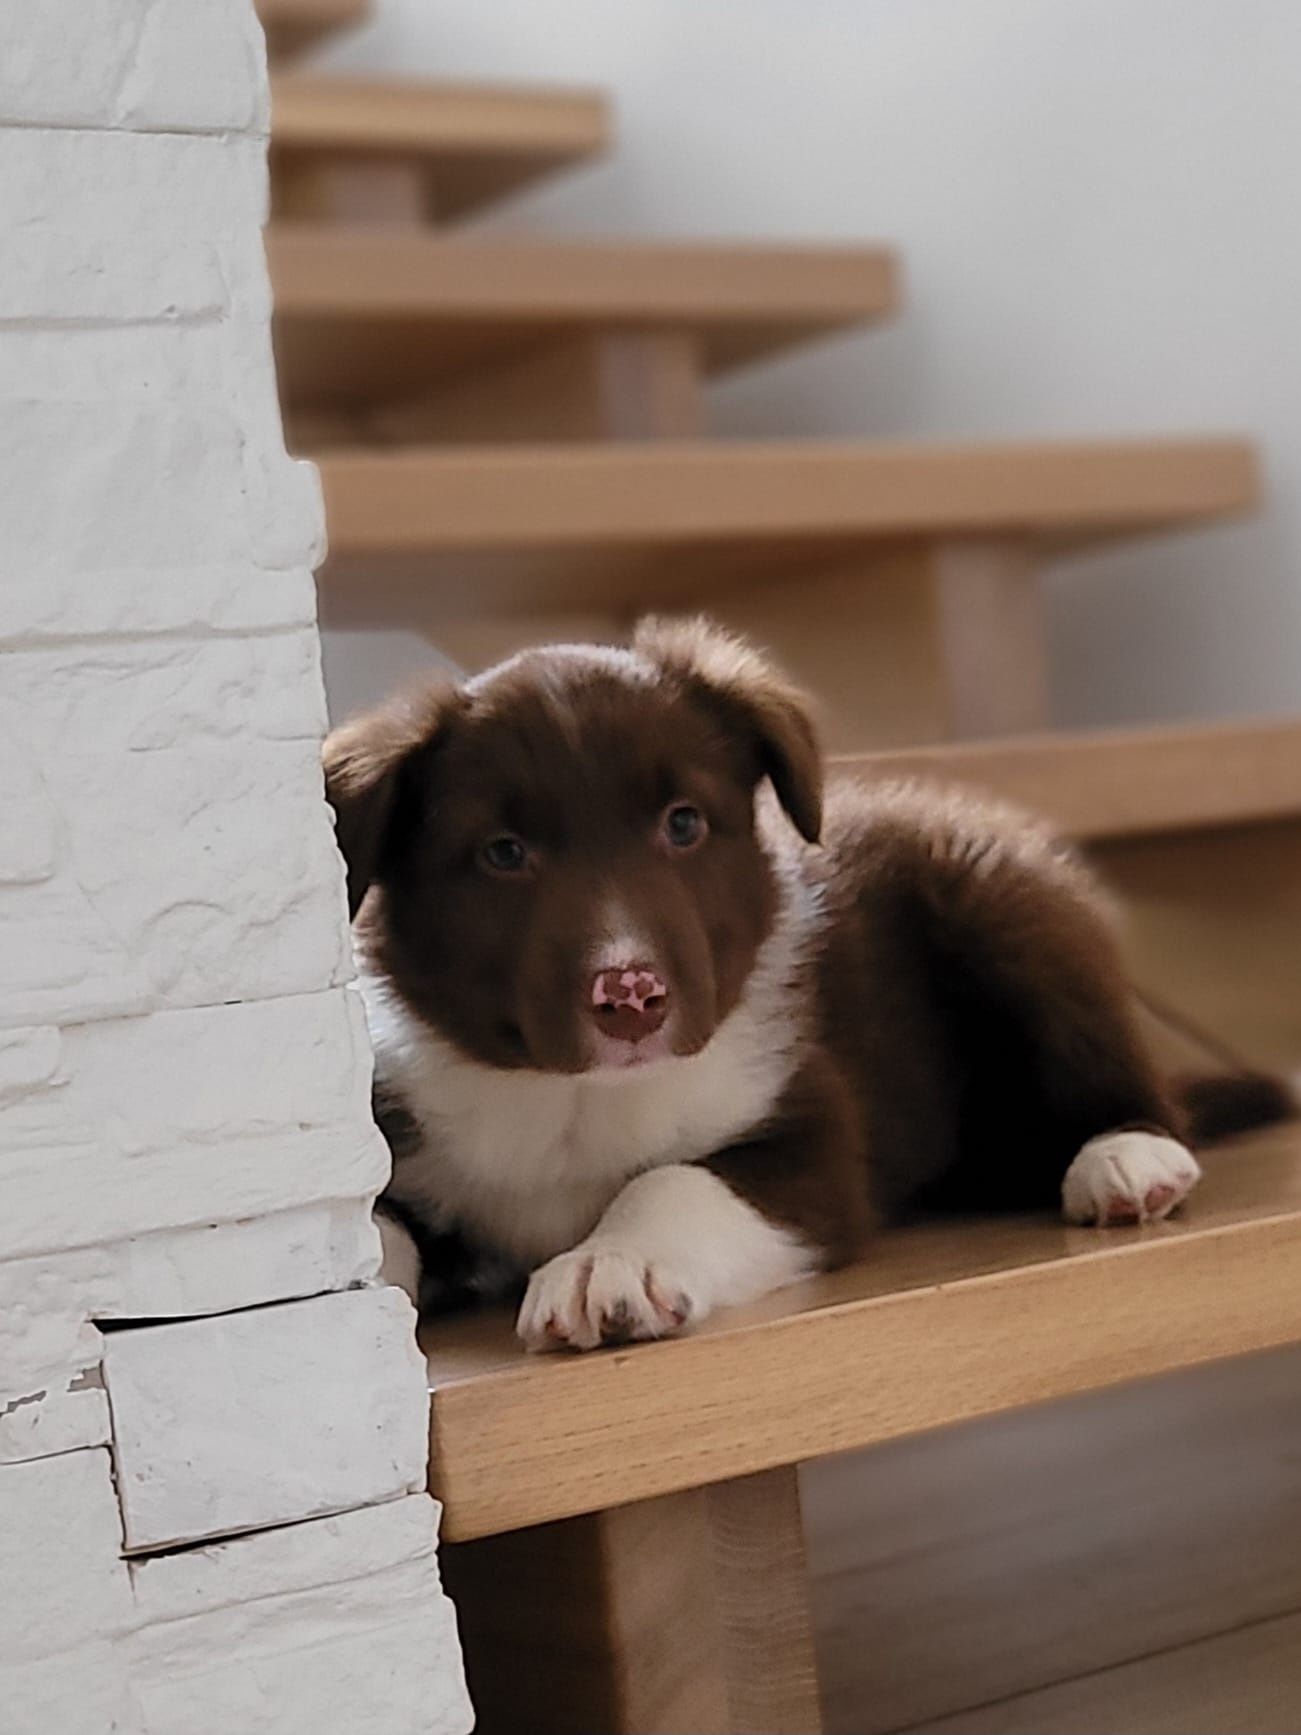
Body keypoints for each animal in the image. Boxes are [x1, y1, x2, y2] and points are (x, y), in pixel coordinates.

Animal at [331, 624, 1207, 1353]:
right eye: (503, 852)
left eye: (683, 823)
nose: (632, 996)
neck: (578, 1100)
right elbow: (374, 1227)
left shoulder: (813, 1133)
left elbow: (675, 1176)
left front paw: (608, 1262)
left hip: (1004, 902)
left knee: (1116, 1067)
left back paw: (1126, 1159)